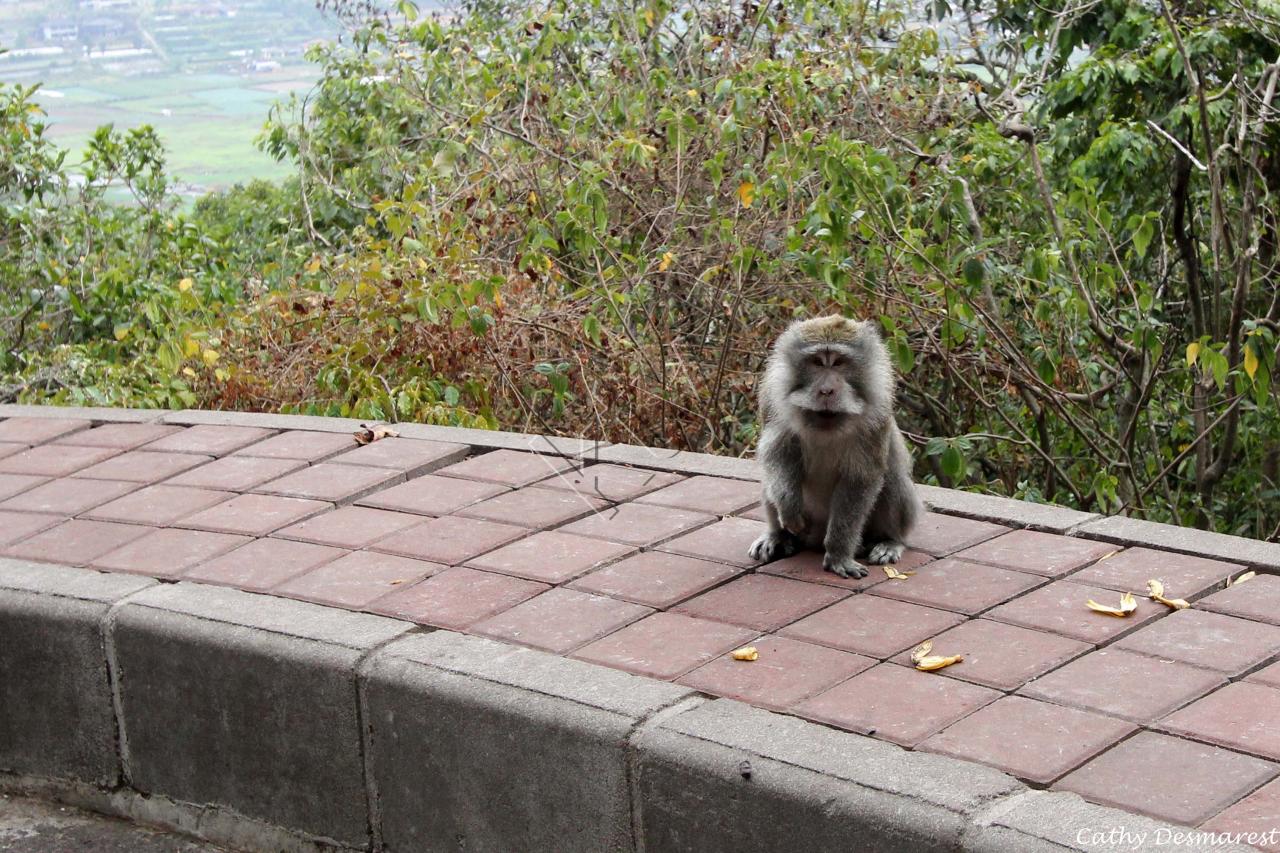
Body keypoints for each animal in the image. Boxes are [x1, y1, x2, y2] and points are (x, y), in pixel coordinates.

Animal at [747, 313, 921, 578]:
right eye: (817, 362)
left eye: (839, 363)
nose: (827, 390)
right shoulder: (771, 398)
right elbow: (777, 453)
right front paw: (788, 507)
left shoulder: (878, 408)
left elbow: (860, 478)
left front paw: (838, 554)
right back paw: (778, 536)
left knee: (892, 479)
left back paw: (889, 541)